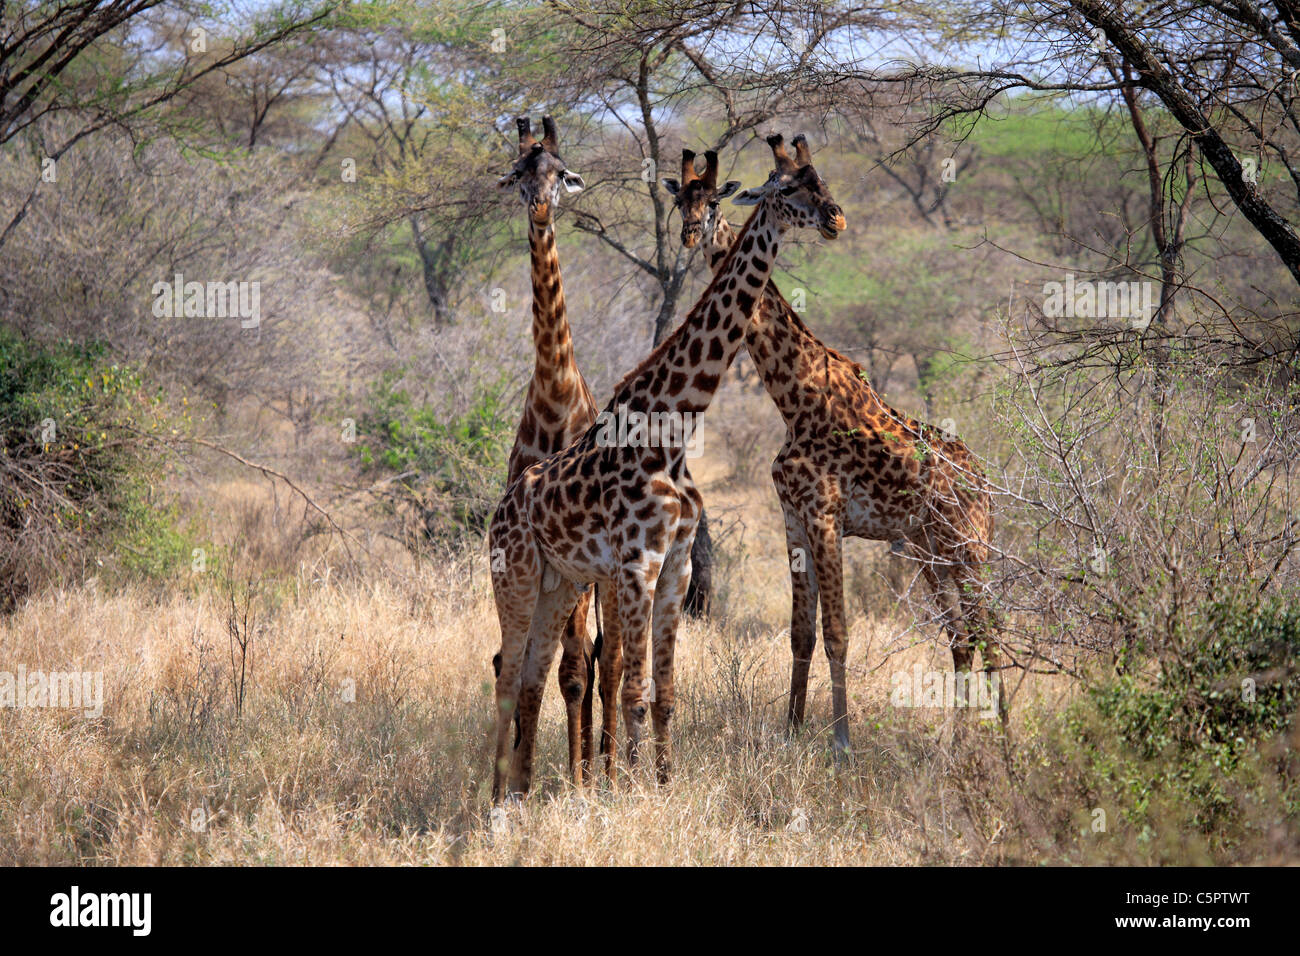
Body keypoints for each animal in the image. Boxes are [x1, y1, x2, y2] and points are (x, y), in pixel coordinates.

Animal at [487, 134, 846, 802]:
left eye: (823, 180)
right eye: (788, 188)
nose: (836, 218)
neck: (675, 426)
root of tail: (498, 511)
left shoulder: (675, 563)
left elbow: (665, 693)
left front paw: (661, 782)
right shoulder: (636, 563)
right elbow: (632, 688)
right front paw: (624, 793)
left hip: (558, 586)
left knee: (530, 675)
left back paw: (517, 793)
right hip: (514, 578)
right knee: (505, 672)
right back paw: (491, 803)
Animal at [663, 142, 1007, 756]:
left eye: (714, 201)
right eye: (680, 199)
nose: (690, 233)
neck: (792, 396)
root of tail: (986, 483)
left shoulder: (826, 515)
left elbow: (838, 634)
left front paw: (842, 743)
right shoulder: (793, 518)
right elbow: (801, 632)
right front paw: (792, 728)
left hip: (969, 546)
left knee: (991, 630)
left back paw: (1003, 740)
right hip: (930, 551)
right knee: (961, 635)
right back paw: (961, 739)